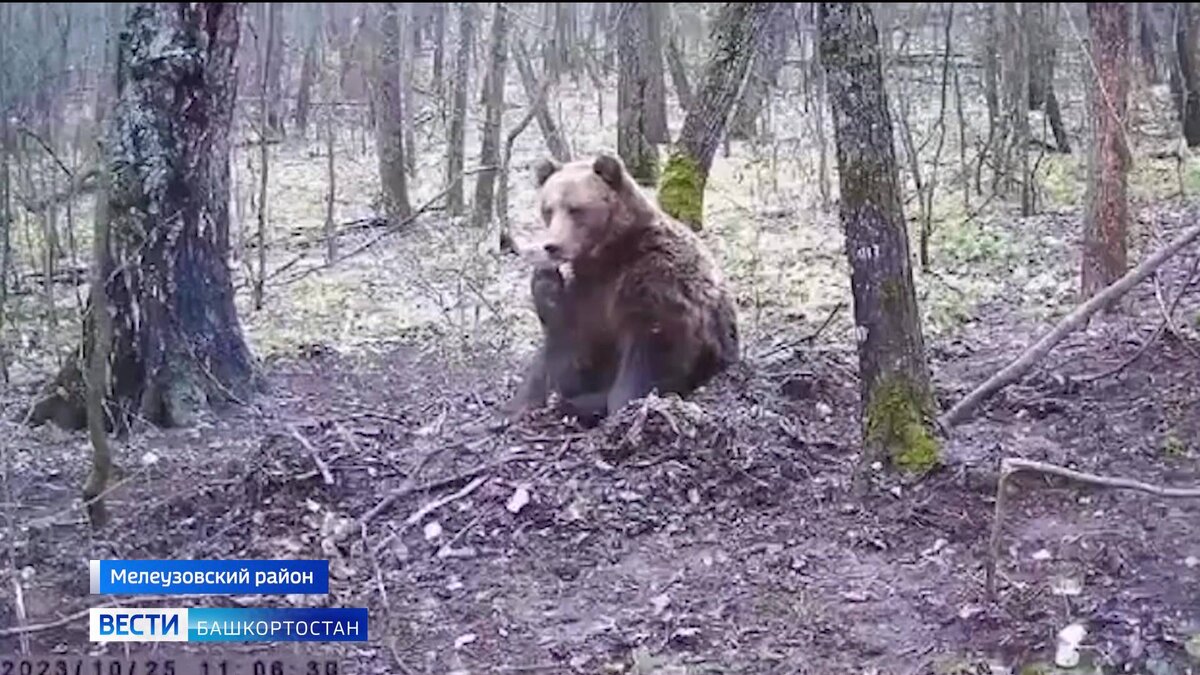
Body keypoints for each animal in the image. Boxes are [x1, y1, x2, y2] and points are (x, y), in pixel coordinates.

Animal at [501, 154, 734, 422]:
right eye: (548, 209)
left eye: (575, 209)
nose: (552, 246)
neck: (608, 256)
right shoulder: (586, 293)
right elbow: (568, 338)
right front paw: (545, 280)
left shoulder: (655, 282)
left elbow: (648, 351)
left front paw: (624, 405)